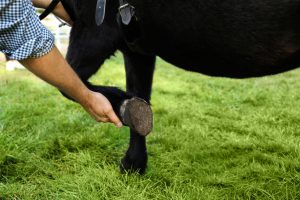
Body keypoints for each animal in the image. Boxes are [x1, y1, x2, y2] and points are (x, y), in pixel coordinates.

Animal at [59, 0, 300, 173]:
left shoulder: (94, 32)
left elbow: (72, 84)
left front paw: (122, 104)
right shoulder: (137, 48)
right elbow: (140, 95)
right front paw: (134, 163)